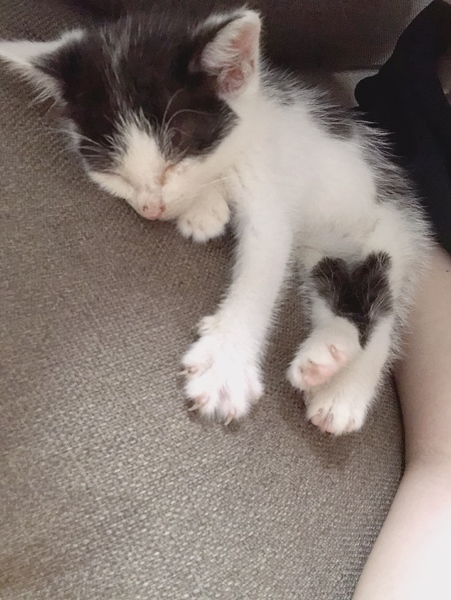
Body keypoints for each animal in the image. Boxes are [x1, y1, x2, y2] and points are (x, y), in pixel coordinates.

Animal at [0, 6, 431, 434]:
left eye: (176, 152)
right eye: (111, 172)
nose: (150, 209)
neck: (243, 135)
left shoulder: (268, 183)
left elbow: (261, 268)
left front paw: (227, 363)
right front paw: (205, 211)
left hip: (387, 230)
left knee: (381, 305)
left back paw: (344, 394)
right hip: (319, 251)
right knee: (336, 293)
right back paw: (326, 355)